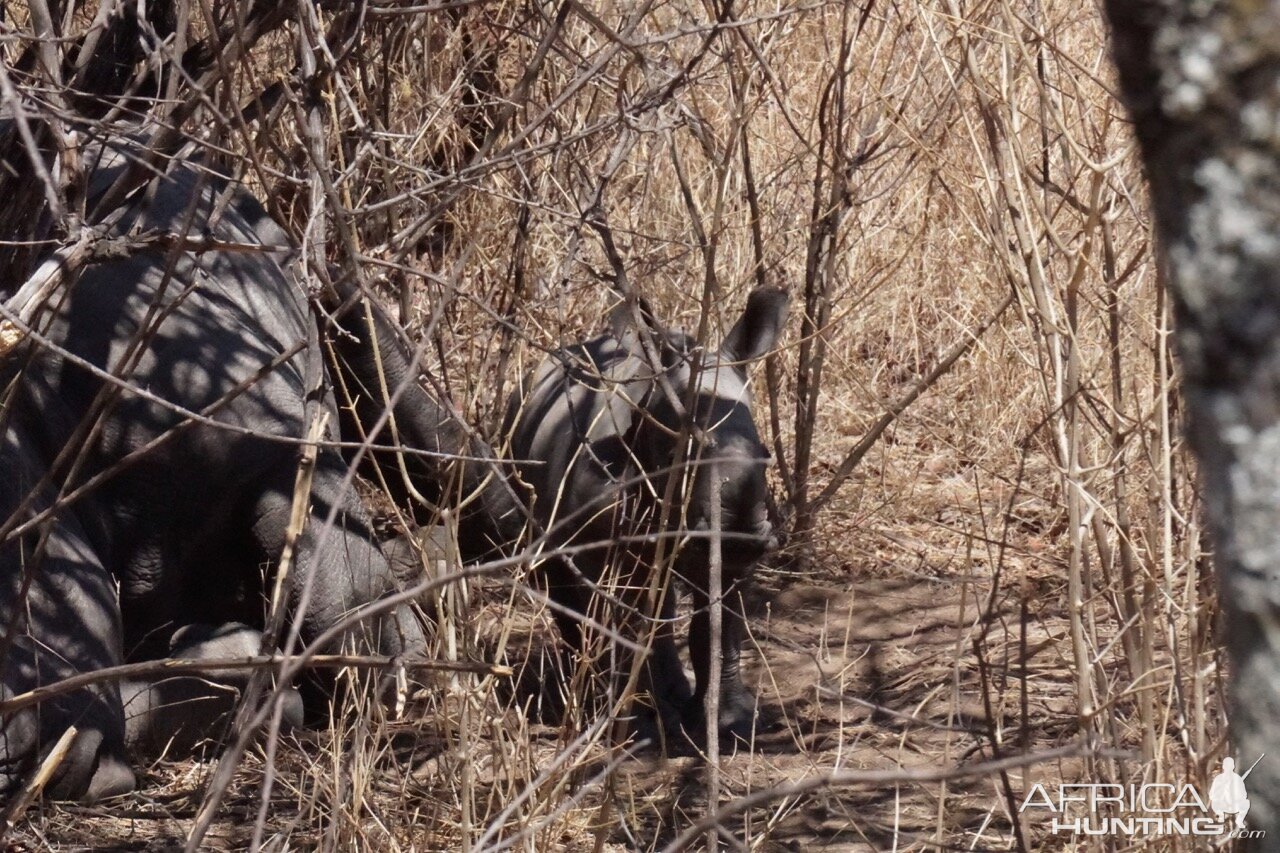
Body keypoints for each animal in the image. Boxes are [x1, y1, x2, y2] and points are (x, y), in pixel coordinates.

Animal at [504, 289, 783, 742]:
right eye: (675, 458)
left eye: (766, 454)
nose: (740, 534)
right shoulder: (603, 545)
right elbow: (621, 622)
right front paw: (636, 726)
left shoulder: (728, 552)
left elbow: (719, 628)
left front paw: (732, 725)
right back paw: (586, 691)